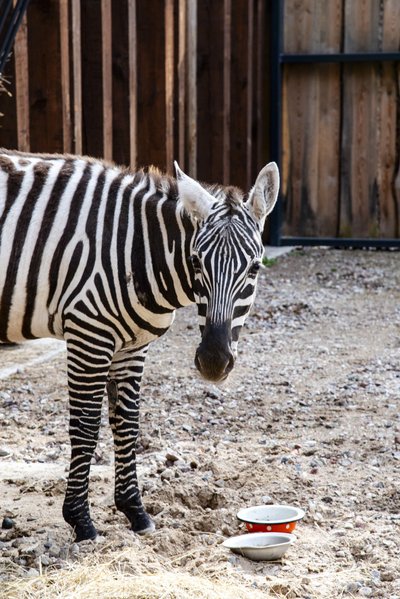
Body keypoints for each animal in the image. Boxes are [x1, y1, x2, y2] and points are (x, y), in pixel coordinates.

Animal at [0, 148, 278, 540]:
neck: (137, 252)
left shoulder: (132, 346)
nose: (212, 361)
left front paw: (135, 511)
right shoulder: (89, 335)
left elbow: (127, 424)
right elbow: (85, 427)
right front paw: (81, 520)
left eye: (254, 268)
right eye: (196, 261)